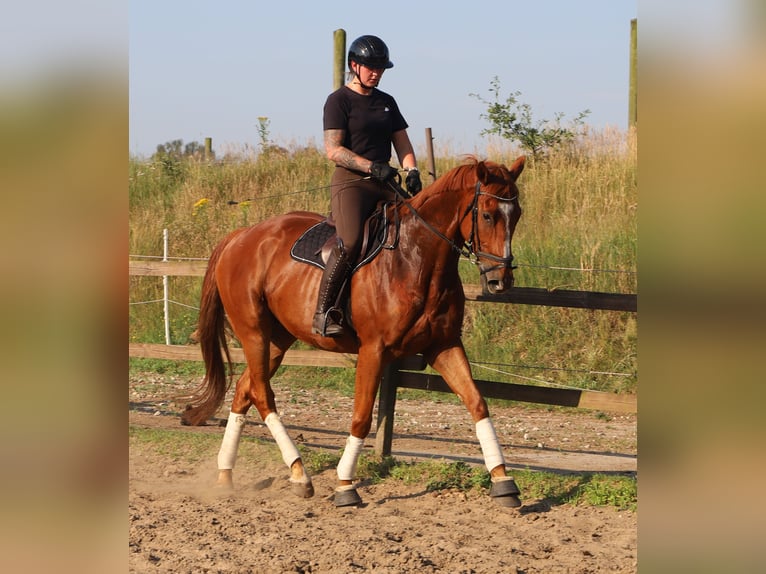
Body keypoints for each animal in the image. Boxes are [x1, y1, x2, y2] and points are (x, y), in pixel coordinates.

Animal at [181, 156, 526, 508]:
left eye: (517, 214)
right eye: (487, 215)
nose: (500, 281)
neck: (416, 259)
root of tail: (241, 236)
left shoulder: (443, 345)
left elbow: (477, 403)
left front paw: (503, 481)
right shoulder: (373, 349)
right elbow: (361, 417)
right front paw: (345, 485)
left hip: (277, 339)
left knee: (244, 390)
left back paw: (227, 474)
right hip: (254, 333)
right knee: (262, 395)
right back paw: (299, 473)